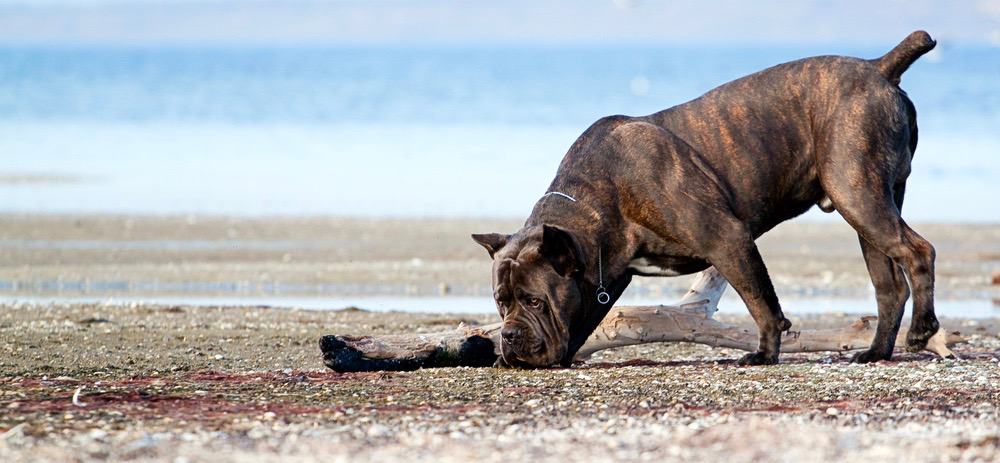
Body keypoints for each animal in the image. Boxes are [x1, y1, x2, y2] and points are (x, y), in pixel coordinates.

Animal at [472, 30, 940, 368]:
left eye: (535, 301)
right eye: (500, 303)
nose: (509, 335)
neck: (597, 198)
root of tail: (879, 68)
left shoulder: (728, 239)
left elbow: (761, 302)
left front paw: (764, 355)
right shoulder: (606, 275)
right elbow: (586, 316)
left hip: (857, 195)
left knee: (919, 252)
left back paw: (921, 331)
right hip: (868, 211)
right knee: (889, 286)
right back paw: (877, 352)